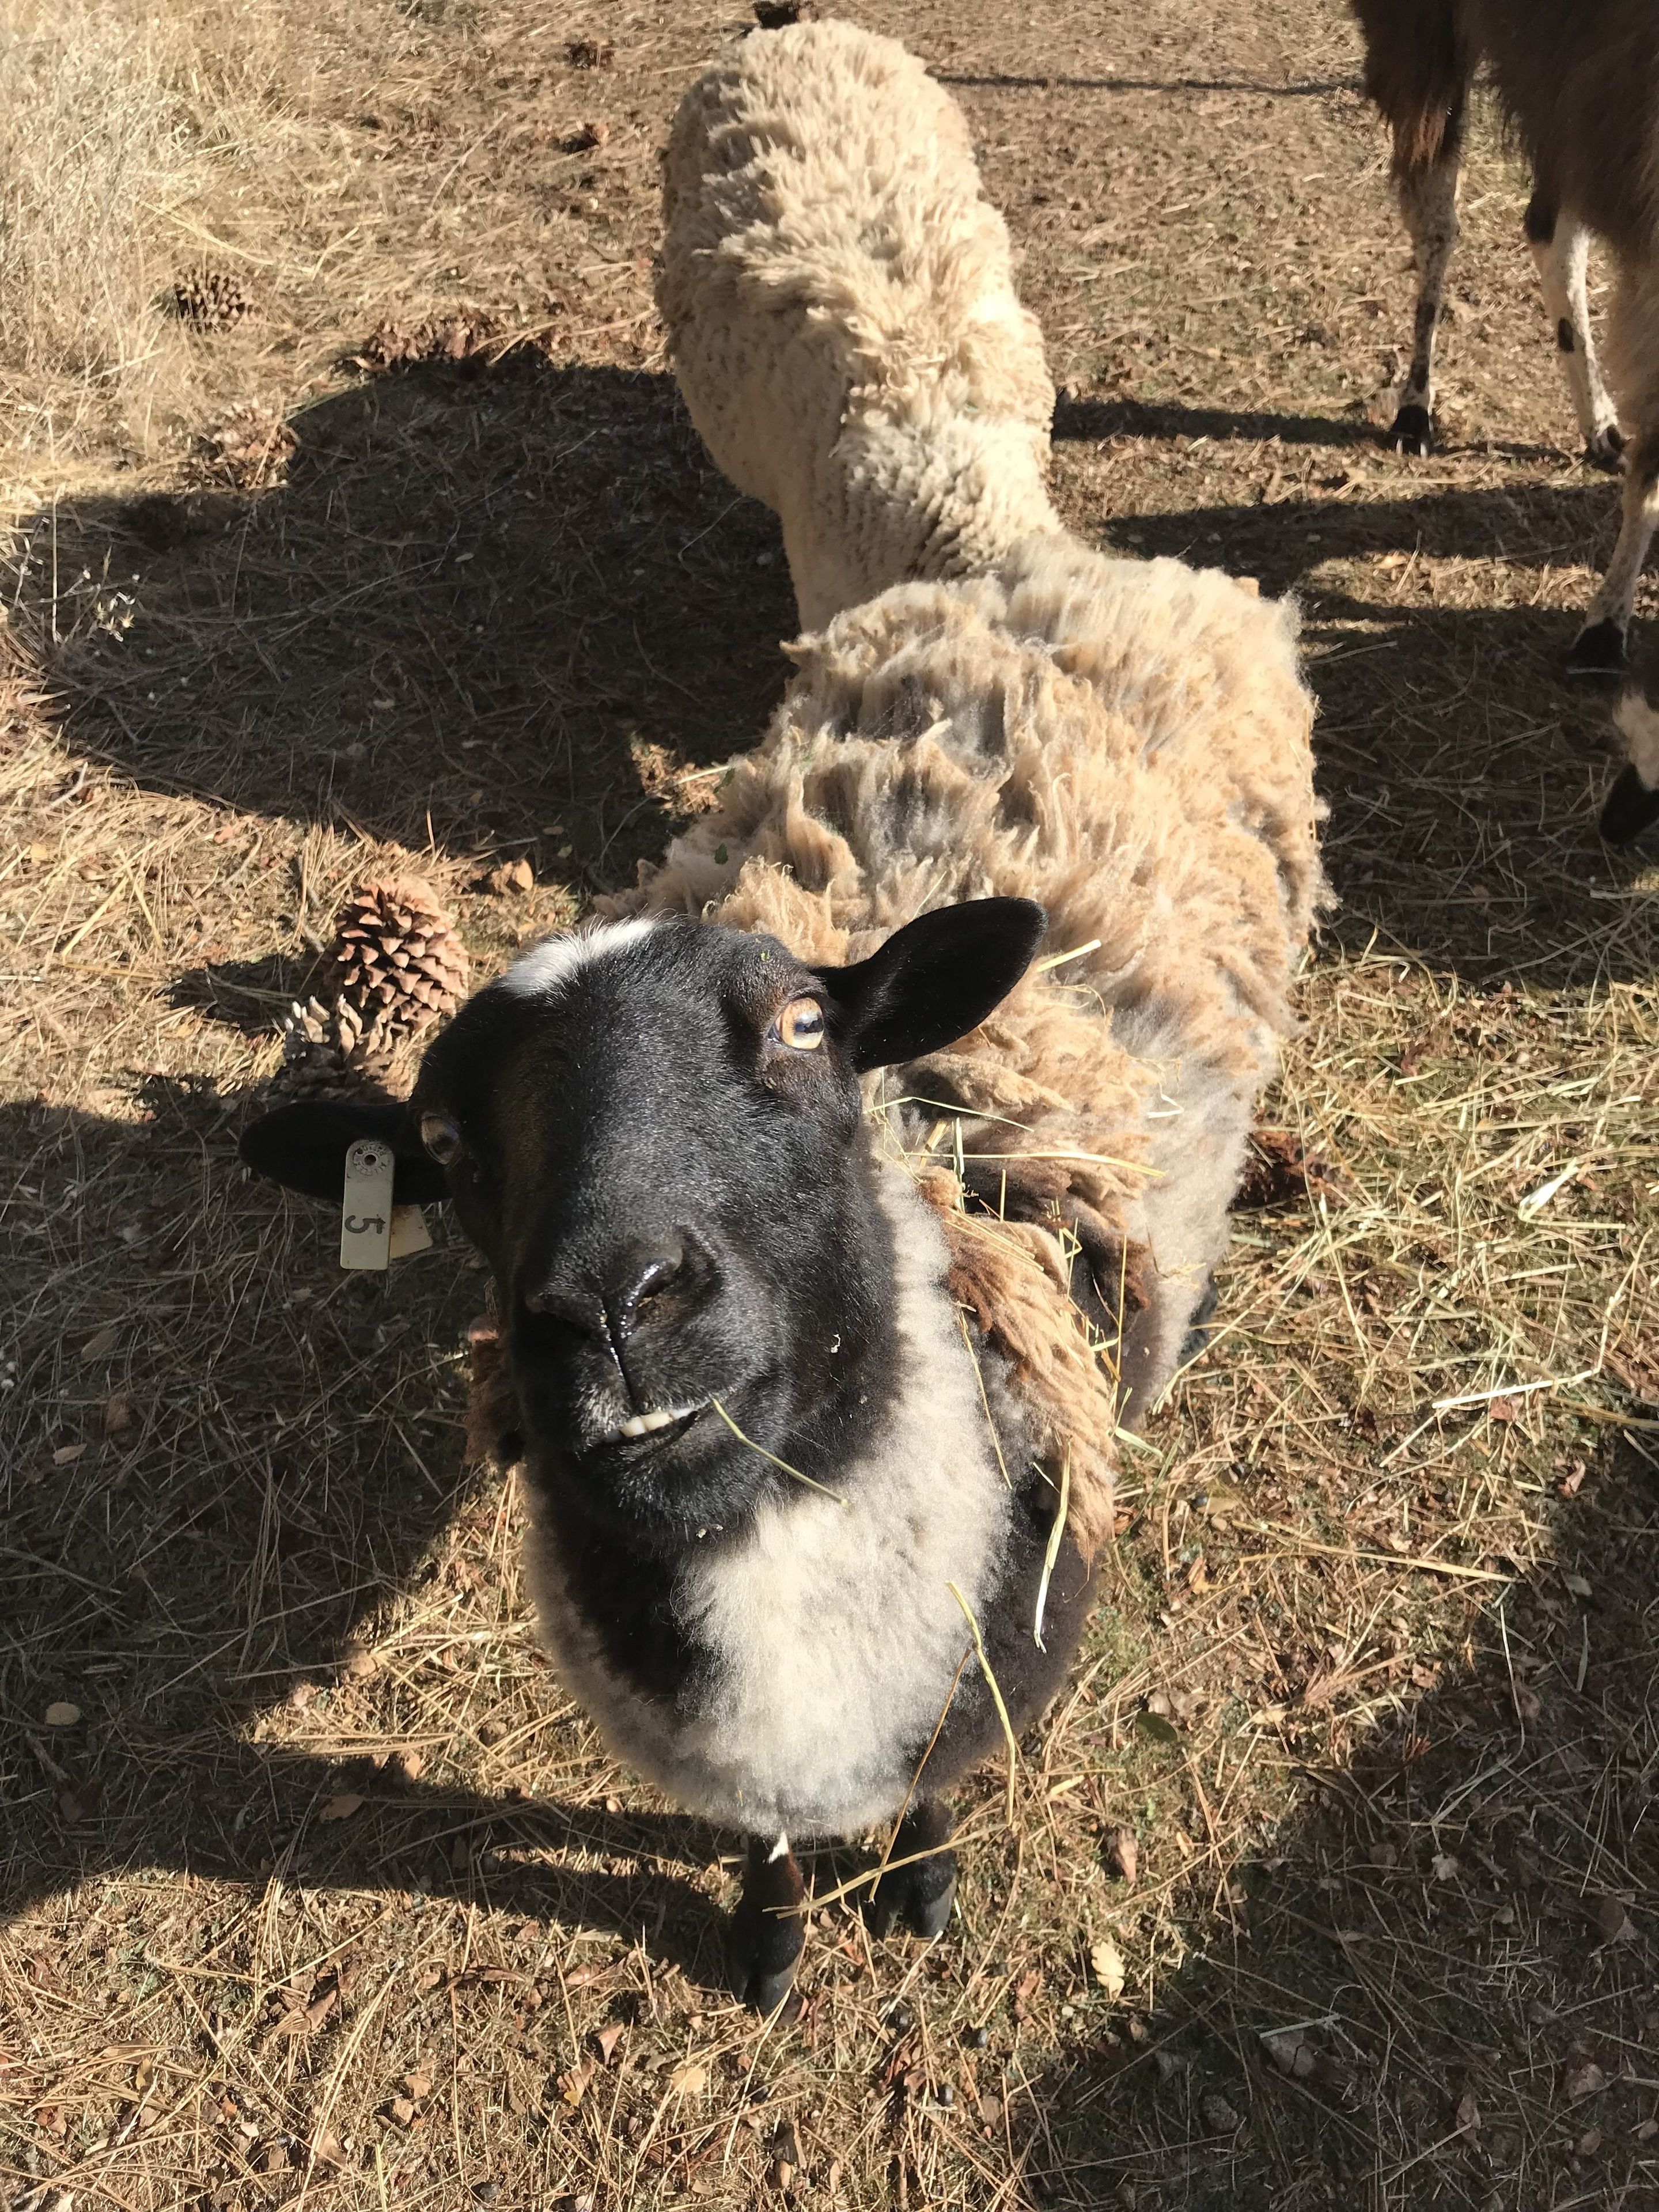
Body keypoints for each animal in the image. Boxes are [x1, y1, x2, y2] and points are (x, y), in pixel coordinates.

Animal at [240, 544, 1324, 2009]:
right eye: (449, 1146)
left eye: (806, 1027)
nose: (609, 1305)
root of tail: (1067, 567)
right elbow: (766, 1842)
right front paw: (768, 1941)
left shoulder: (976, 1672)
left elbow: (928, 1787)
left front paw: (920, 1886)